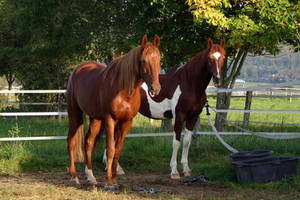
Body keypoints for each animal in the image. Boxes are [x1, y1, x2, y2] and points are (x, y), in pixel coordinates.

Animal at [67, 34, 162, 189]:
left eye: (159, 60)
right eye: (143, 61)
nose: (155, 88)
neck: (125, 91)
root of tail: (77, 70)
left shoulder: (126, 122)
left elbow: (117, 151)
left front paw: (114, 179)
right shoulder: (110, 119)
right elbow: (110, 149)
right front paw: (109, 182)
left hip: (95, 119)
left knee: (88, 142)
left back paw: (91, 176)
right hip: (74, 114)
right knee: (71, 141)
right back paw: (74, 177)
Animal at [104, 38, 226, 180]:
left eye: (223, 57)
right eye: (209, 58)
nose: (217, 80)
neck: (189, 83)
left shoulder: (193, 117)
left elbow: (187, 142)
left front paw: (186, 169)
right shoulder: (180, 116)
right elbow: (176, 142)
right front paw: (174, 171)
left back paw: (113, 167)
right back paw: (114, 168)